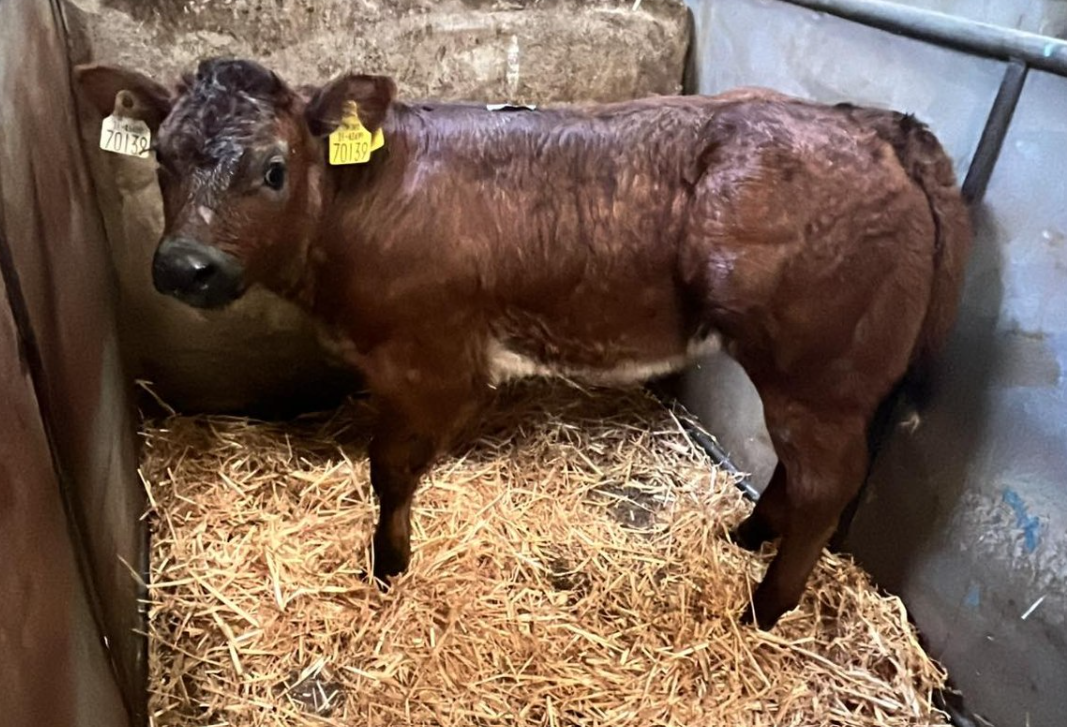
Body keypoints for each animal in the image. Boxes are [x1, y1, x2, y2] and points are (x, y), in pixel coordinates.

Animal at [75, 58, 972, 630]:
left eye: (273, 168)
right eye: (161, 158)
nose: (186, 266)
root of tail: (866, 121)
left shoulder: (431, 361)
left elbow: (389, 469)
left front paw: (388, 565)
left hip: (817, 365)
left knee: (827, 481)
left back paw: (763, 606)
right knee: (801, 467)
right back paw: (746, 536)